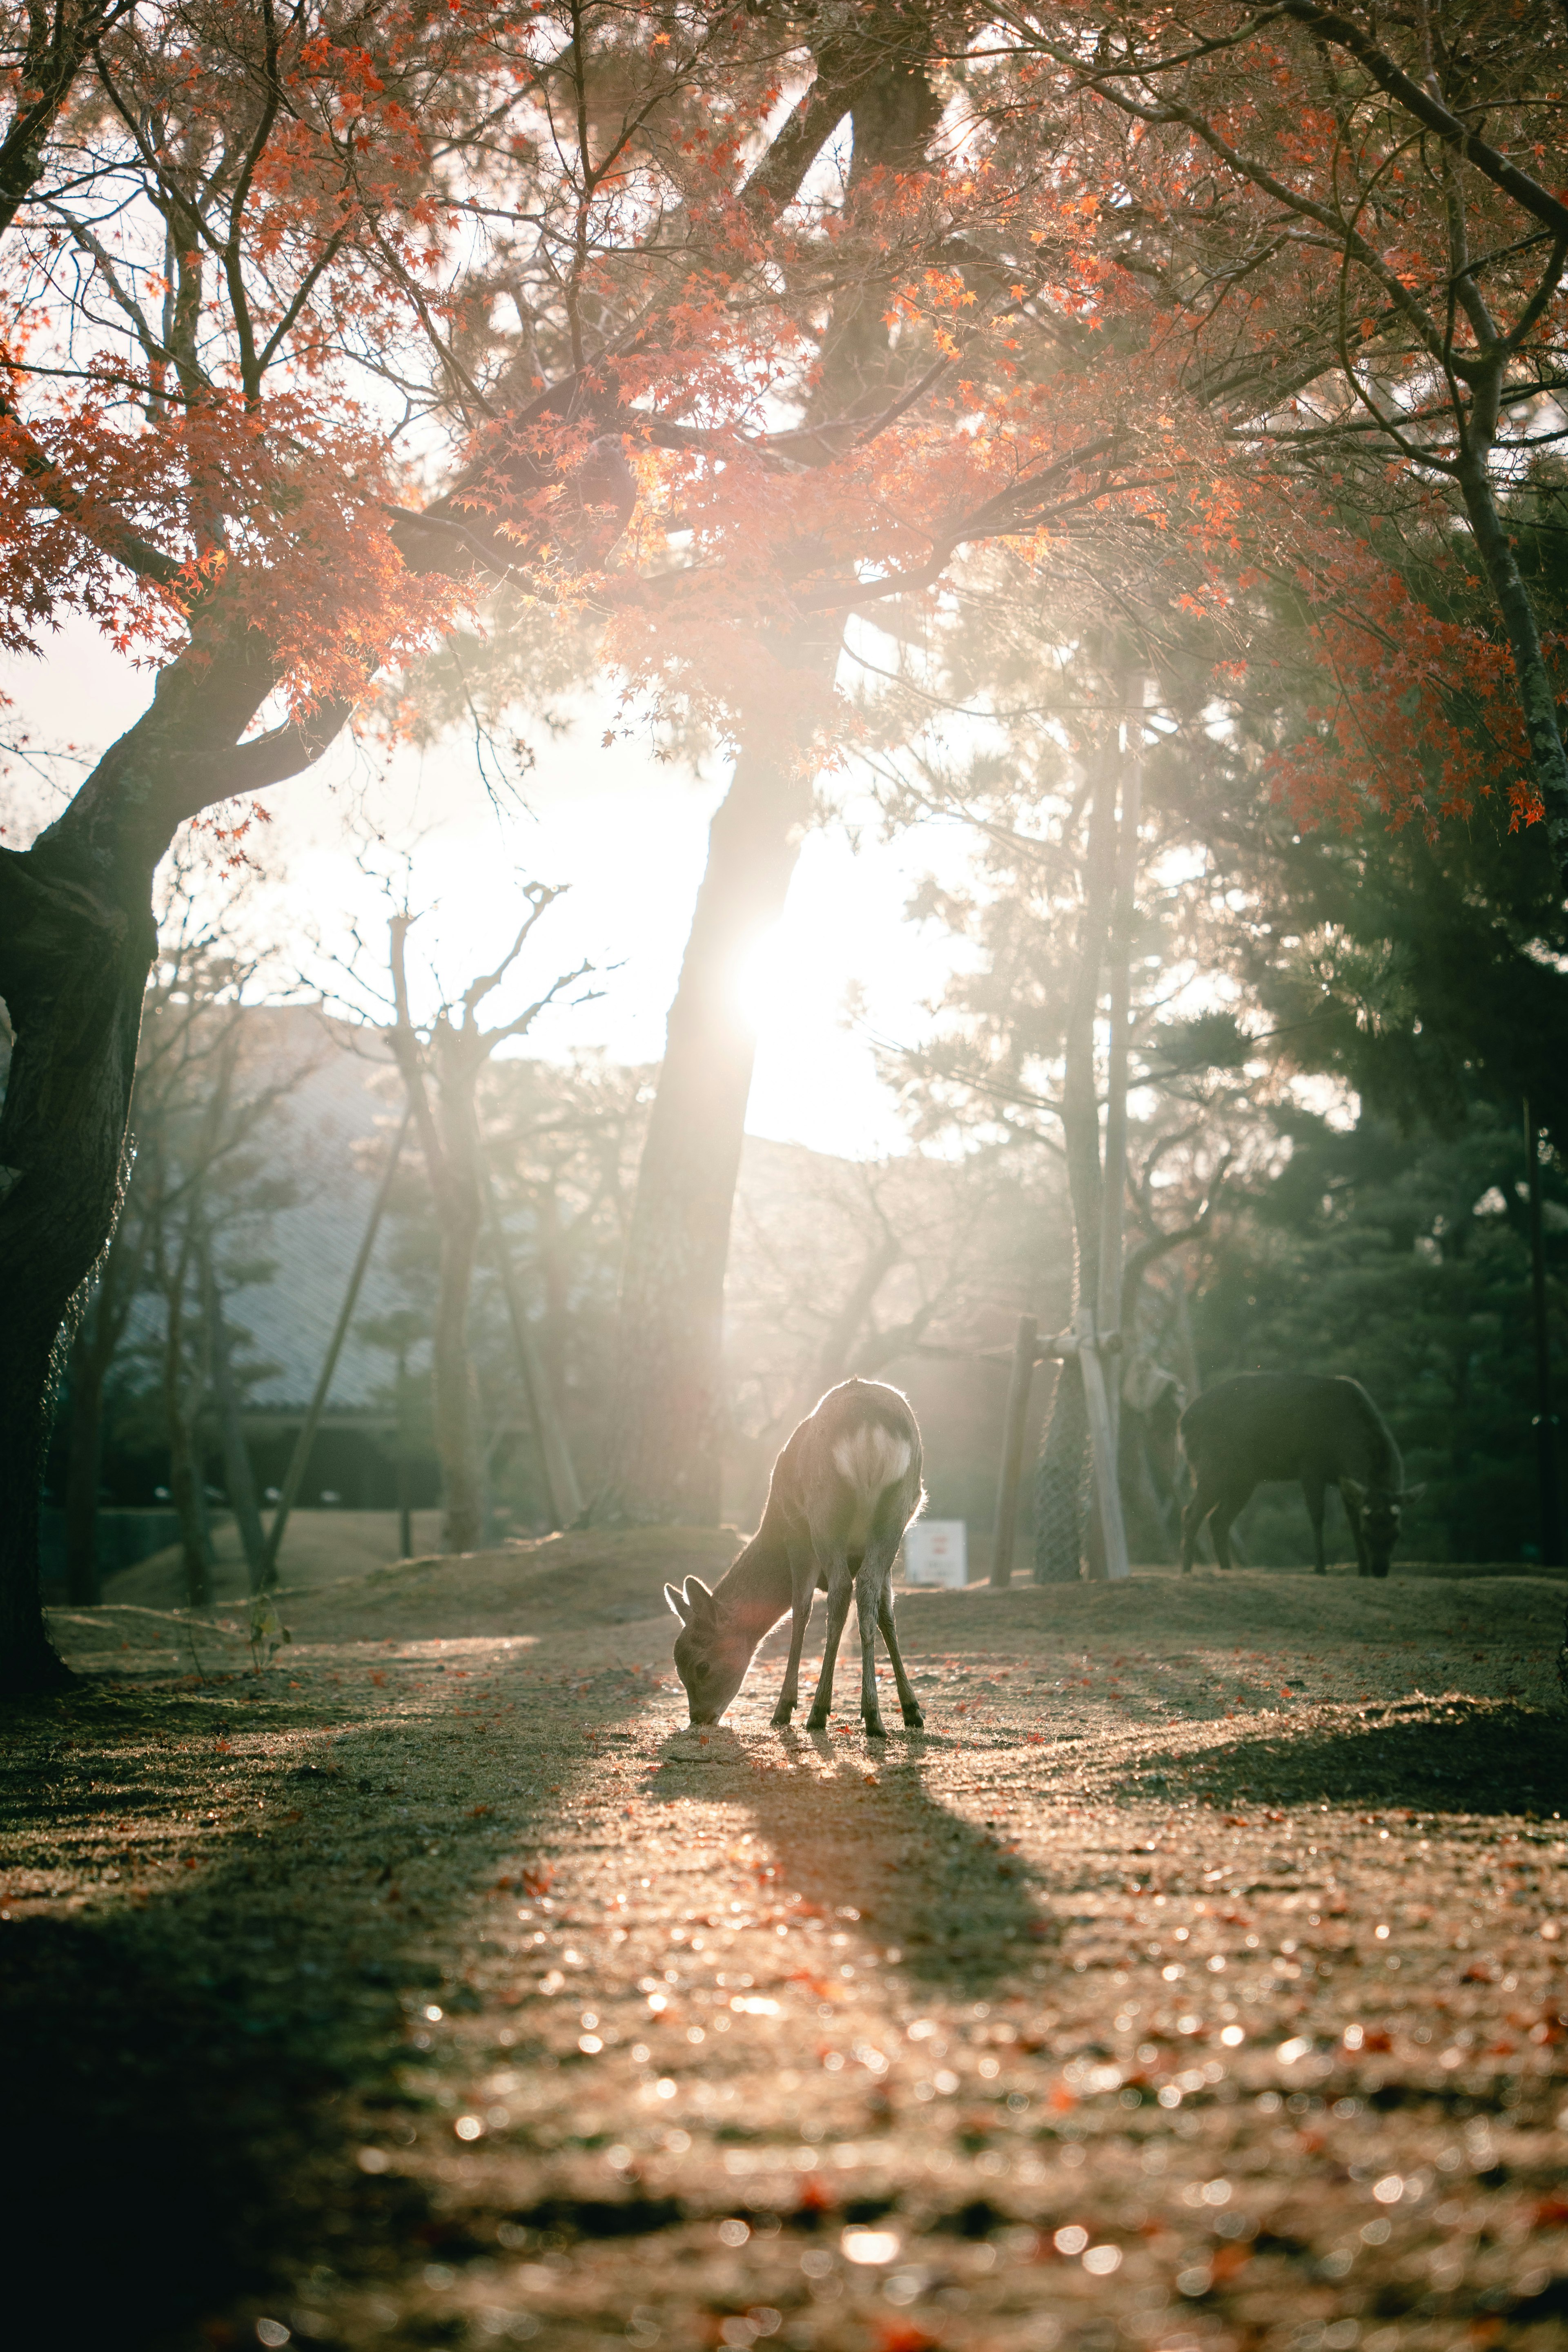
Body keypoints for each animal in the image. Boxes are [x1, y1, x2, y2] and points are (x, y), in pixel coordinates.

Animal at [668, 1373, 931, 1740]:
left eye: (701, 1666)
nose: (699, 1718)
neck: (773, 1528)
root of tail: (869, 1425)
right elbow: (886, 1614)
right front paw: (912, 1709)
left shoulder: (796, 1538)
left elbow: (800, 1611)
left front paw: (784, 1709)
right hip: (896, 1512)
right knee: (864, 1588)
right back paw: (874, 1716)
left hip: (824, 1512)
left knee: (840, 1592)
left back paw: (820, 1712)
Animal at [1175, 1364, 1420, 1580]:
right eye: (1368, 1532)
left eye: (1397, 1534)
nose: (1380, 1571)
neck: (1345, 1448)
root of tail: (1183, 1423)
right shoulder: (1311, 1465)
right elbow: (1318, 1515)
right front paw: (1320, 1569)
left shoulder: (1344, 1480)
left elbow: (1351, 1518)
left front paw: (1363, 1571)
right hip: (1212, 1468)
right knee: (1191, 1513)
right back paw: (1187, 1571)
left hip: (1243, 1479)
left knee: (1218, 1520)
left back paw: (1226, 1570)